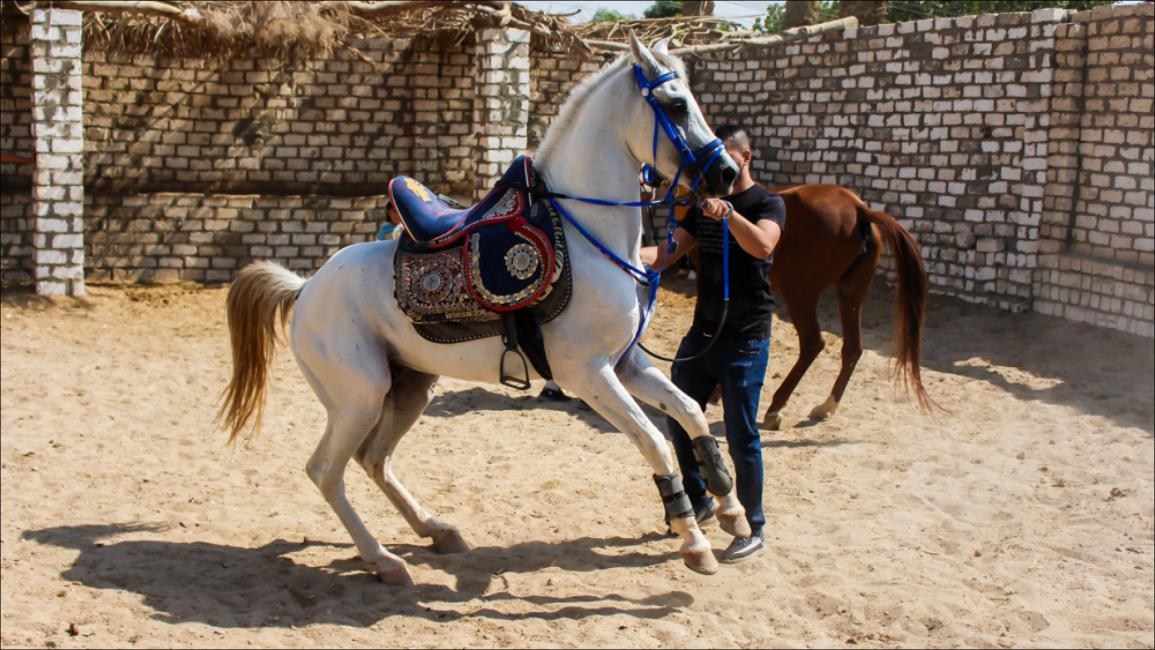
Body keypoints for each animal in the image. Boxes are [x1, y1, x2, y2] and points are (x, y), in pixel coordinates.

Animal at [220, 34, 748, 584]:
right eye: (676, 105)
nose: (727, 173)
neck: (586, 235)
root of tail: (305, 289)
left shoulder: (629, 364)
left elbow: (691, 413)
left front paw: (732, 510)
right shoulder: (589, 375)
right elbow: (655, 441)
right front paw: (693, 540)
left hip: (408, 389)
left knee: (374, 460)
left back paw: (436, 531)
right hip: (360, 399)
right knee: (326, 472)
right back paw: (383, 560)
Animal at [688, 184, 933, 427]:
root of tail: (858, 208)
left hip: (800, 295)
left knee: (812, 343)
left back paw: (776, 407)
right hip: (851, 292)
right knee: (852, 348)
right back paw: (827, 406)